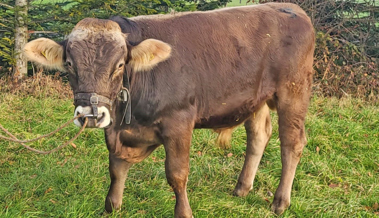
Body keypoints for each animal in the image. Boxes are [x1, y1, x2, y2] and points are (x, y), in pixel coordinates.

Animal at [23, 2, 314, 217]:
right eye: (69, 64)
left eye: (119, 64)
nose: (91, 115)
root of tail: (291, 8)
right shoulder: (117, 130)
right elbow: (116, 168)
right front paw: (111, 207)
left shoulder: (179, 122)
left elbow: (177, 174)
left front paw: (184, 212)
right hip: (255, 98)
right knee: (258, 136)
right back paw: (242, 188)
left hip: (293, 90)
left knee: (292, 142)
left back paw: (280, 202)